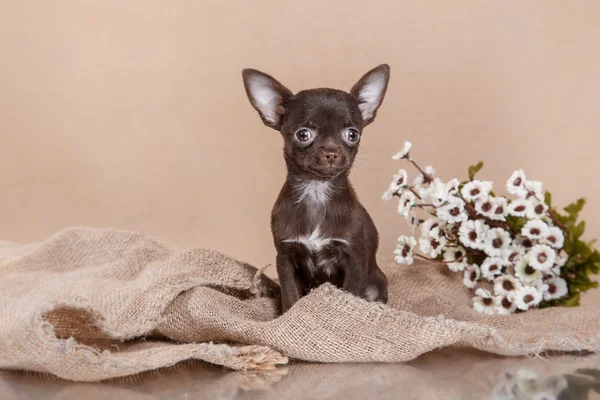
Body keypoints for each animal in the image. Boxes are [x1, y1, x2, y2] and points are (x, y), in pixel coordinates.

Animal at [241, 65, 392, 314]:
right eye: (303, 134)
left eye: (352, 134)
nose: (331, 153)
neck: (316, 190)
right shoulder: (285, 258)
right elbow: (290, 296)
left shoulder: (354, 261)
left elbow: (349, 293)